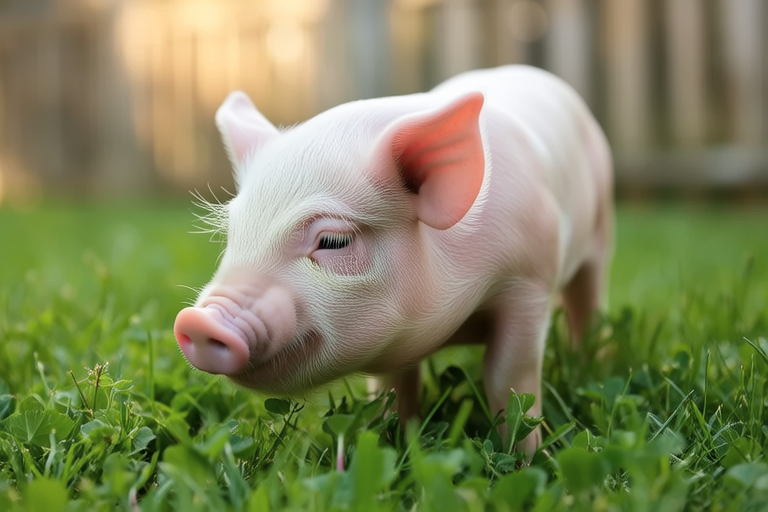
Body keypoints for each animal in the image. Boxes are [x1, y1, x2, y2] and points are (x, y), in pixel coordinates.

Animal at [174, 65, 613, 452]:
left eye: (334, 241)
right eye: (234, 233)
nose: (197, 321)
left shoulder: (530, 282)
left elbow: (507, 374)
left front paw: (524, 456)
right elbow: (391, 388)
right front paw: (394, 440)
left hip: (600, 232)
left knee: (586, 301)